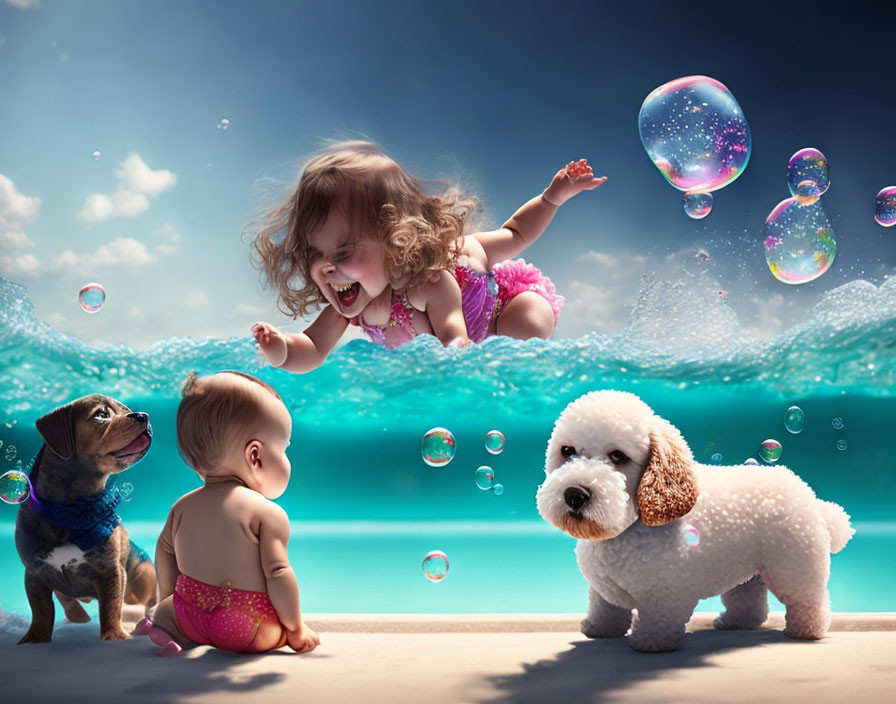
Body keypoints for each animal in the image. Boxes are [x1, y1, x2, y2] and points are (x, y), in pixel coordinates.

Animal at [15, 394, 158, 640]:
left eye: (127, 410)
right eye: (101, 415)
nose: (143, 415)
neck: (72, 510)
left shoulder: (110, 569)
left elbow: (111, 605)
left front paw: (114, 636)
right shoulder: (34, 572)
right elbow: (41, 610)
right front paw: (36, 639)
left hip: (144, 572)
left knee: (144, 601)